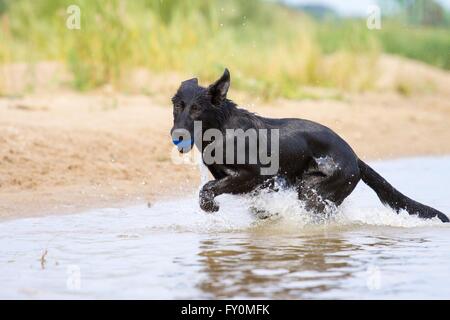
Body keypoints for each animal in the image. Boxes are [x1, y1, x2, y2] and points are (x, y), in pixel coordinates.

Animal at [171, 69, 448, 222]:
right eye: (178, 106)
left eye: (197, 109)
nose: (177, 135)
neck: (221, 129)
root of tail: (355, 157)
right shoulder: (255, 183)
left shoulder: (254, 175)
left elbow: (208, 188)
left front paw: (210, 205)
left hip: (314, 191)